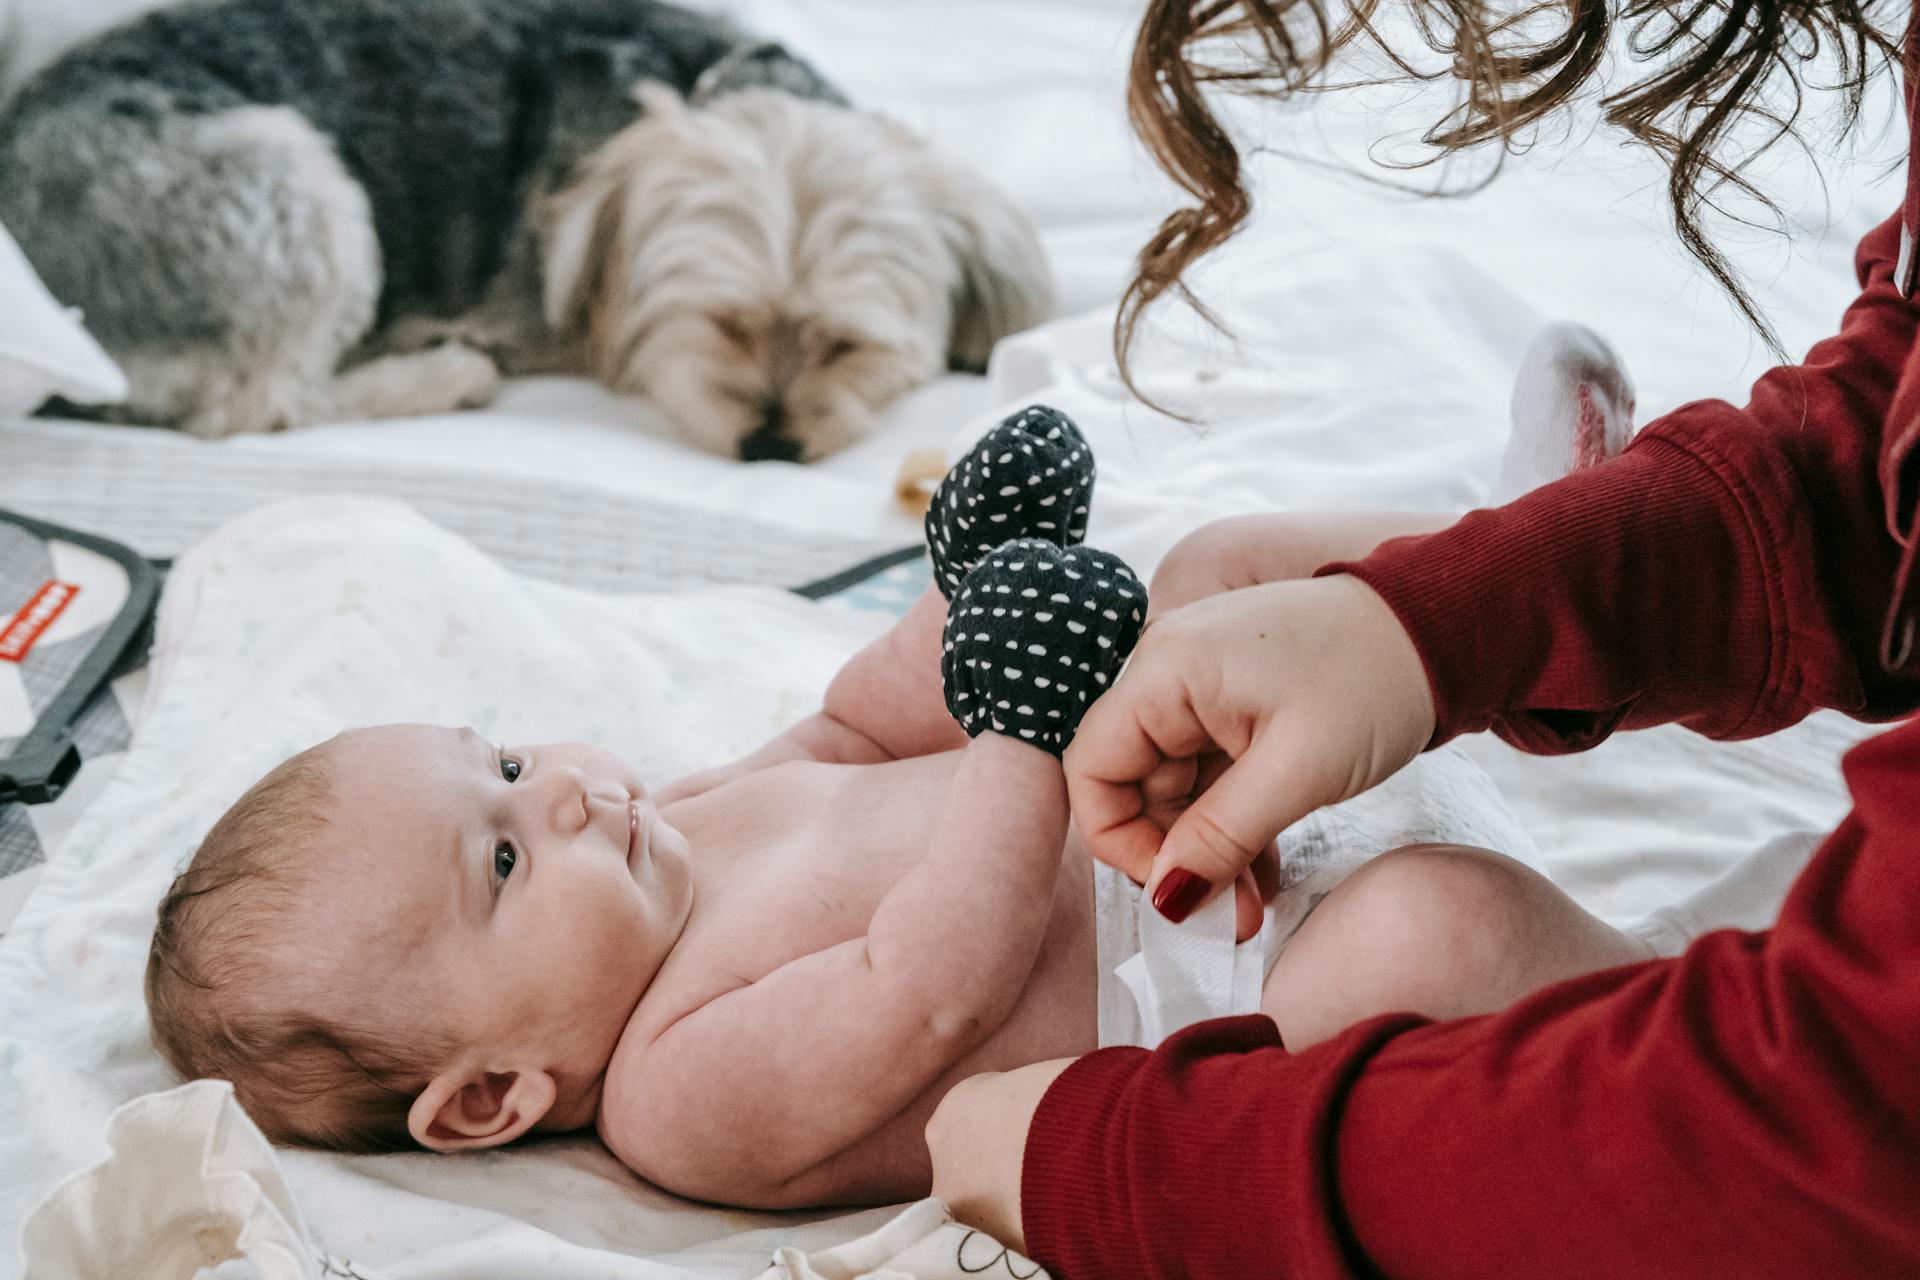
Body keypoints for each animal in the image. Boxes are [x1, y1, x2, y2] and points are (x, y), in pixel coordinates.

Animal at [0, 0, 852, 445]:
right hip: (292, 188)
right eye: (722, 323)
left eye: (849, 345)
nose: (775, 442)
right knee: (261, 407)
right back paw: (444, 375)